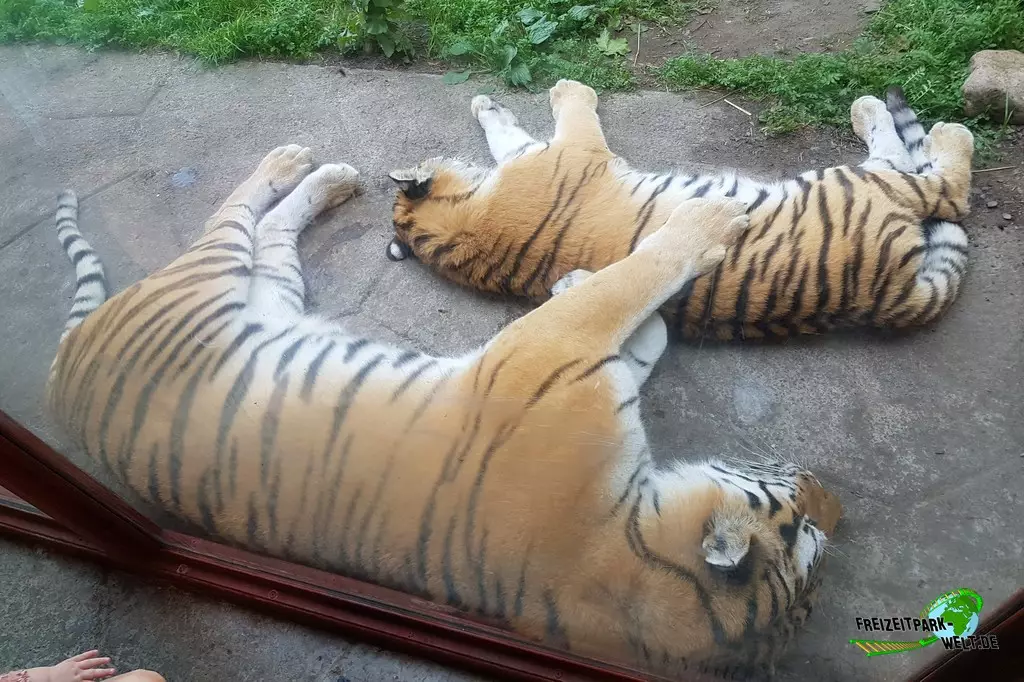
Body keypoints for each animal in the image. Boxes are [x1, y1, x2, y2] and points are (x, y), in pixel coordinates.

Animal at [46, 144, 841, 677]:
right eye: (801, 525)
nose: (826, 496)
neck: (624, 544)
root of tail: (64, 374)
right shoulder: (555, 347)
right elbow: (634, 281)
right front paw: (704, 223)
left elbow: (642, 327)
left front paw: (584, 280)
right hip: (206, 276)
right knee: (234, 212)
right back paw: (299, 160)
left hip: (271, 294)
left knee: (270, 232)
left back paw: (330, 179)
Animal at [386, 81, 975, 341]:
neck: (463, 231)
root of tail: (888, 298)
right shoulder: (574, 150)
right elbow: (571, 110)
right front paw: (567, 86)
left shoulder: (533, 156)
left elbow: (505, 135)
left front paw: (485, 103)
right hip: (860, 182)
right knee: (943, 186)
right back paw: (912, 120)